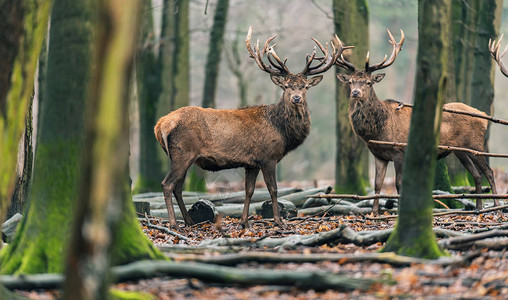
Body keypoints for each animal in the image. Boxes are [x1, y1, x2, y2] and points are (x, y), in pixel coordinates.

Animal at [153, 27, 350, 229]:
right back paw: (174, 224)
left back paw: (189, 221)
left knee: (177, 187)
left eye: (304, 87)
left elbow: (249, 190)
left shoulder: (251, 163)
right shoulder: (268, 157)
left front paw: (244, 222)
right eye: (286, 86)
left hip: (179, 155)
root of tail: (161, 124)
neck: (281, 130)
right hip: (183, 152)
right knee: (167, 184)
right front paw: (279, 221)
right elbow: (273, 189)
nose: (296, 98)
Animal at [336, 29, 498, 212]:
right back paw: (478, 207)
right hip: (460, 150)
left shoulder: (400, 151)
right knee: (476, 175)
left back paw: (496, 205)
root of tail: (484, 116)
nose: (355, 92)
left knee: (489, 172)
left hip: (475, 144)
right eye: (351, 82)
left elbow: (399, 184)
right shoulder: (379, 155)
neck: (378, 130)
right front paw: (374, 212)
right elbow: (378, 184)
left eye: (369, 82)